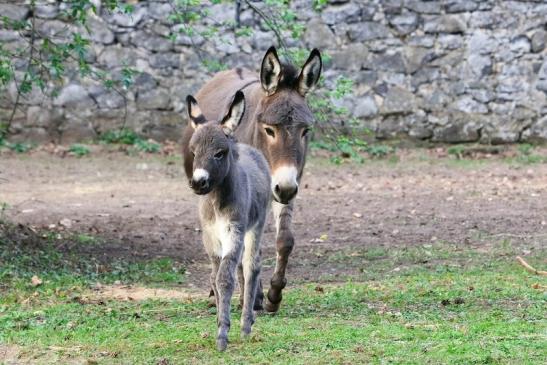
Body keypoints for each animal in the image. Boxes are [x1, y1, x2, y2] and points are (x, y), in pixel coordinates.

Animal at [187, 89, 270, 348]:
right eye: (193, 152)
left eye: (219, 153)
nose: (198, 182)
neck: (216, 203)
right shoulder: (210, 236)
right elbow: (215, 278)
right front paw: (219, 322)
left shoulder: (235, 230)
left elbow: (225, 278)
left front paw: (223, 333)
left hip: (256, 225)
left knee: (252, 266)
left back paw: (246, 324)